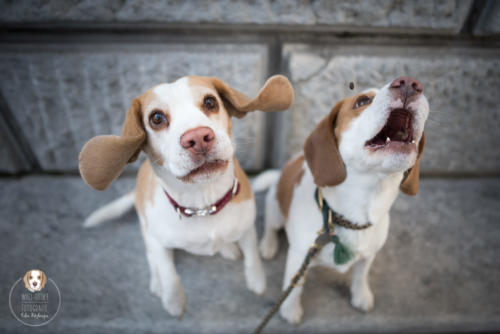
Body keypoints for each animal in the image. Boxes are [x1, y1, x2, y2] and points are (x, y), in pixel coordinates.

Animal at [80, 74, 294, 318]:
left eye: (210, 102)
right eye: (156, 118)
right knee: (152, 258)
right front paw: (174, 301)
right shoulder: (159, 243)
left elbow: (253, 257)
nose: (199, 137)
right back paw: (157, 283)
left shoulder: (247, 228)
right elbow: (169, 274)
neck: (204, 205)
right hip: (146, 232)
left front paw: (256, 280)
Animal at [256, 76, 428, 324]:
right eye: (362, 100)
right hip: (275, 210)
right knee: (270, 227)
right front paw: (290, 310)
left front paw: (361, 295)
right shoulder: (299, 256)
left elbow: (361, 275)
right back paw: (268, 246)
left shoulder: (369, 255)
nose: (410, 83)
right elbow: (295, 285)